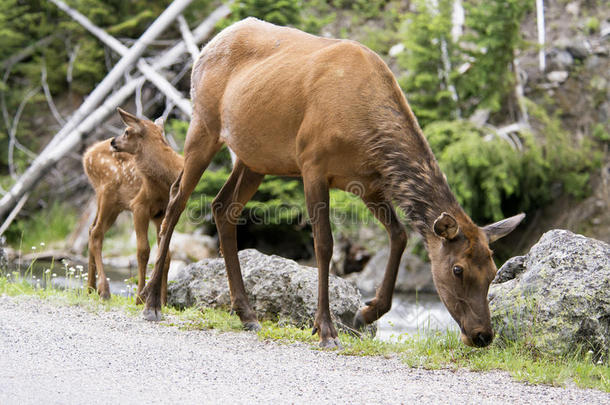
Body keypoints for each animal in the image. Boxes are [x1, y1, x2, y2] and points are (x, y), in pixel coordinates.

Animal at [139, 18, 524, 348]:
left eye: (493, 271)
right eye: (458, 269)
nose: (482, 335)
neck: (366, 132)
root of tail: (208, 45)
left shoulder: (369, 182)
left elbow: (399, 235)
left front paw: (367, 311)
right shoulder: (313, 163)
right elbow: (324, 244)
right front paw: (325, 328)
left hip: (255, 157)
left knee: (222, 207)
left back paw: (246, 314)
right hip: (203, 124)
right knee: (177, 199)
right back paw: (152, 303)